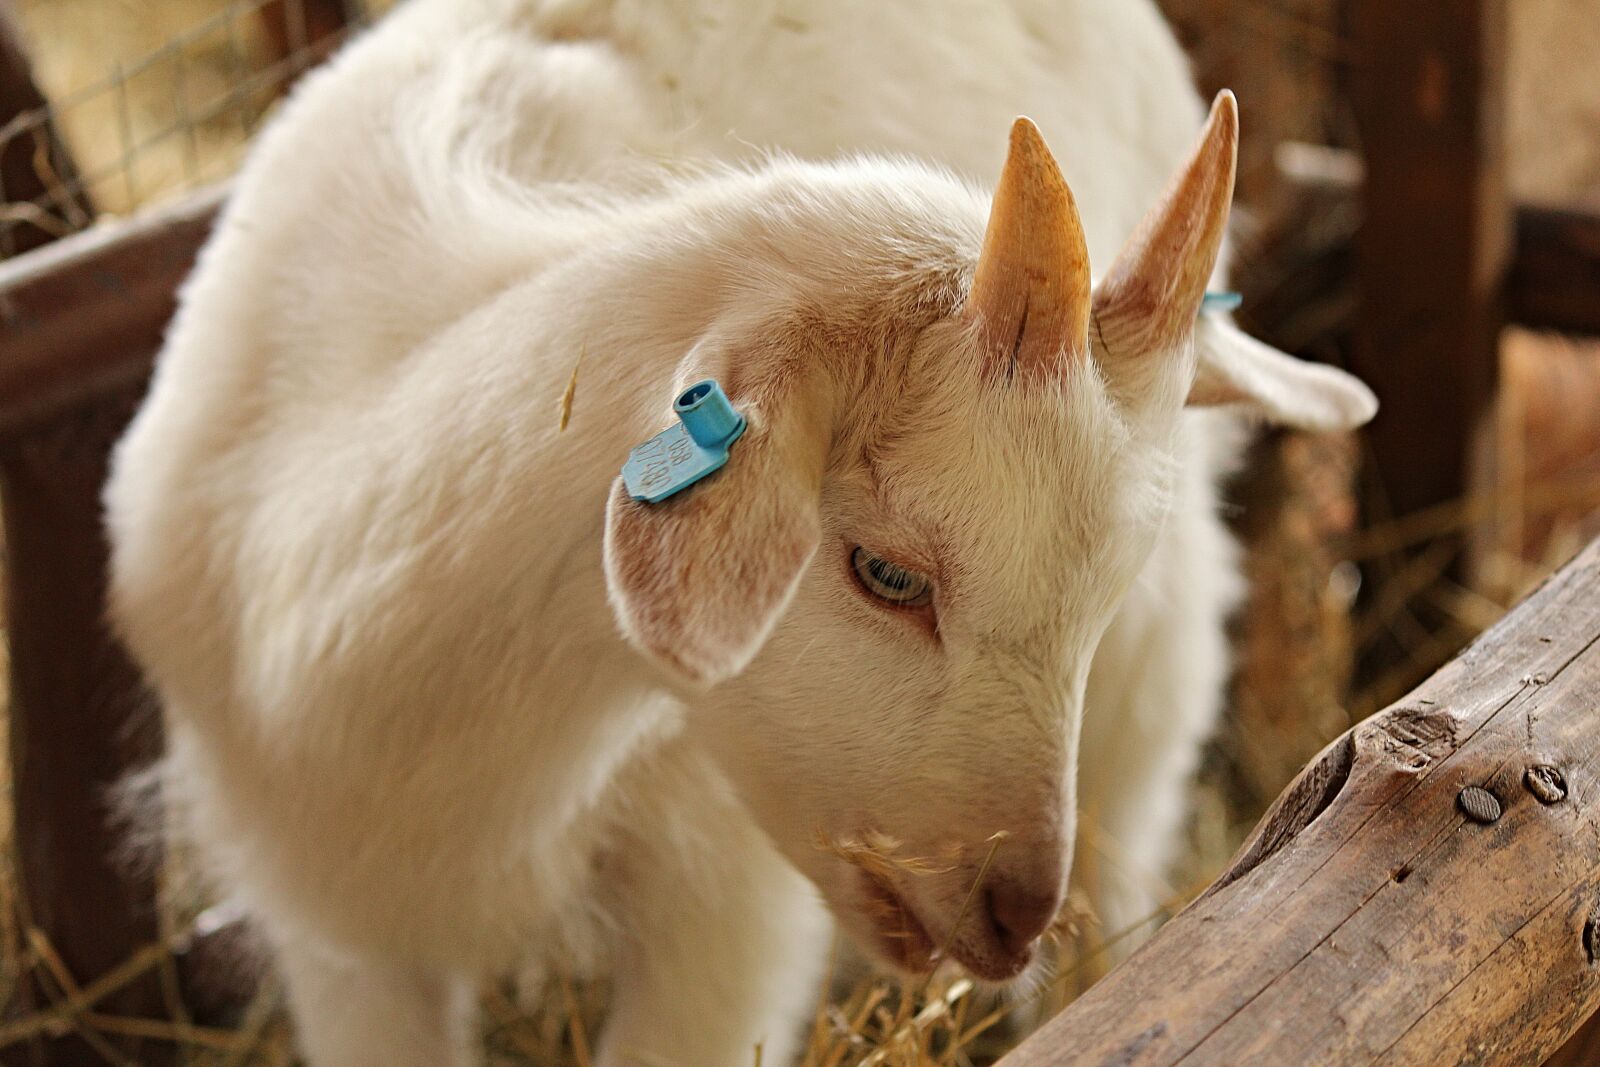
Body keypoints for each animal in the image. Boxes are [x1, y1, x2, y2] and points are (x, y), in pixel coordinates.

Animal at [104, 1, 1376, 1064]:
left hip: (1154, 663)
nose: (1014, 906)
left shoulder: (720, 905)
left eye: (1096, 597)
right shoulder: (341, 940)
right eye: (884, 572)